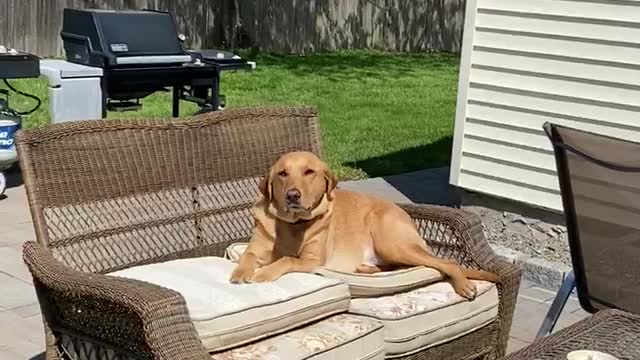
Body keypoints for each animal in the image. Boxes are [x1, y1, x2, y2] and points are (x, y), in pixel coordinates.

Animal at [230, 150, 500, 300]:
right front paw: (240, 272)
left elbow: (285, 259)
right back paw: (365, 268)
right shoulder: (255, 248)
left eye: (309, 172)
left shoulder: (311, 261)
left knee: (447, 263)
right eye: (282, 174)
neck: (292, 225)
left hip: (392, 242)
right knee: (399, 266)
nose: (292, 196)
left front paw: (263, 273)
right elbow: (247, 256)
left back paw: (465, 286)